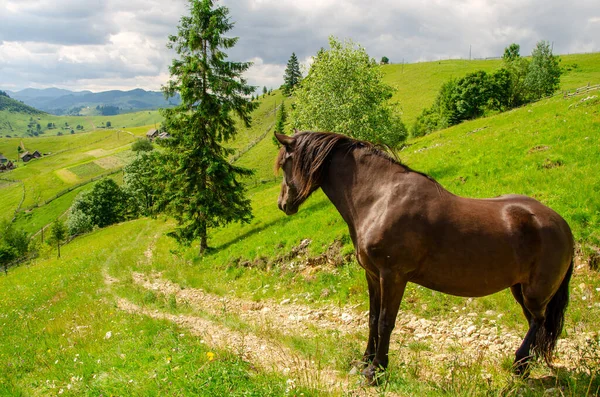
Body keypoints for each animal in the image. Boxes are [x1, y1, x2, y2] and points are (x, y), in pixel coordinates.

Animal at [274, 131, 576, 382]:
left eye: (285, 163)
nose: (283, 204)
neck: (380, 198)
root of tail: (562, 224)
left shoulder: (393, 276)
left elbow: (385, 322)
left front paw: (376, 371)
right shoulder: (372, 275)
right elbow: (372, 319)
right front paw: (364, 363)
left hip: (535, 291)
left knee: (538, 321)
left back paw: (519, 365)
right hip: (519, 288)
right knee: (537, 323)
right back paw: (525, 365)